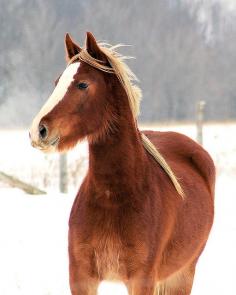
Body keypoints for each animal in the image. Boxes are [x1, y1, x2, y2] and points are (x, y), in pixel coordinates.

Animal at [29, 32, 214, 295]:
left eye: (82, 84)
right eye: (57, 82)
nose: (38, 130)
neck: (113, 197)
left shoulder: (142, 279)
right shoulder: (81, 277)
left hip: (182, 275)